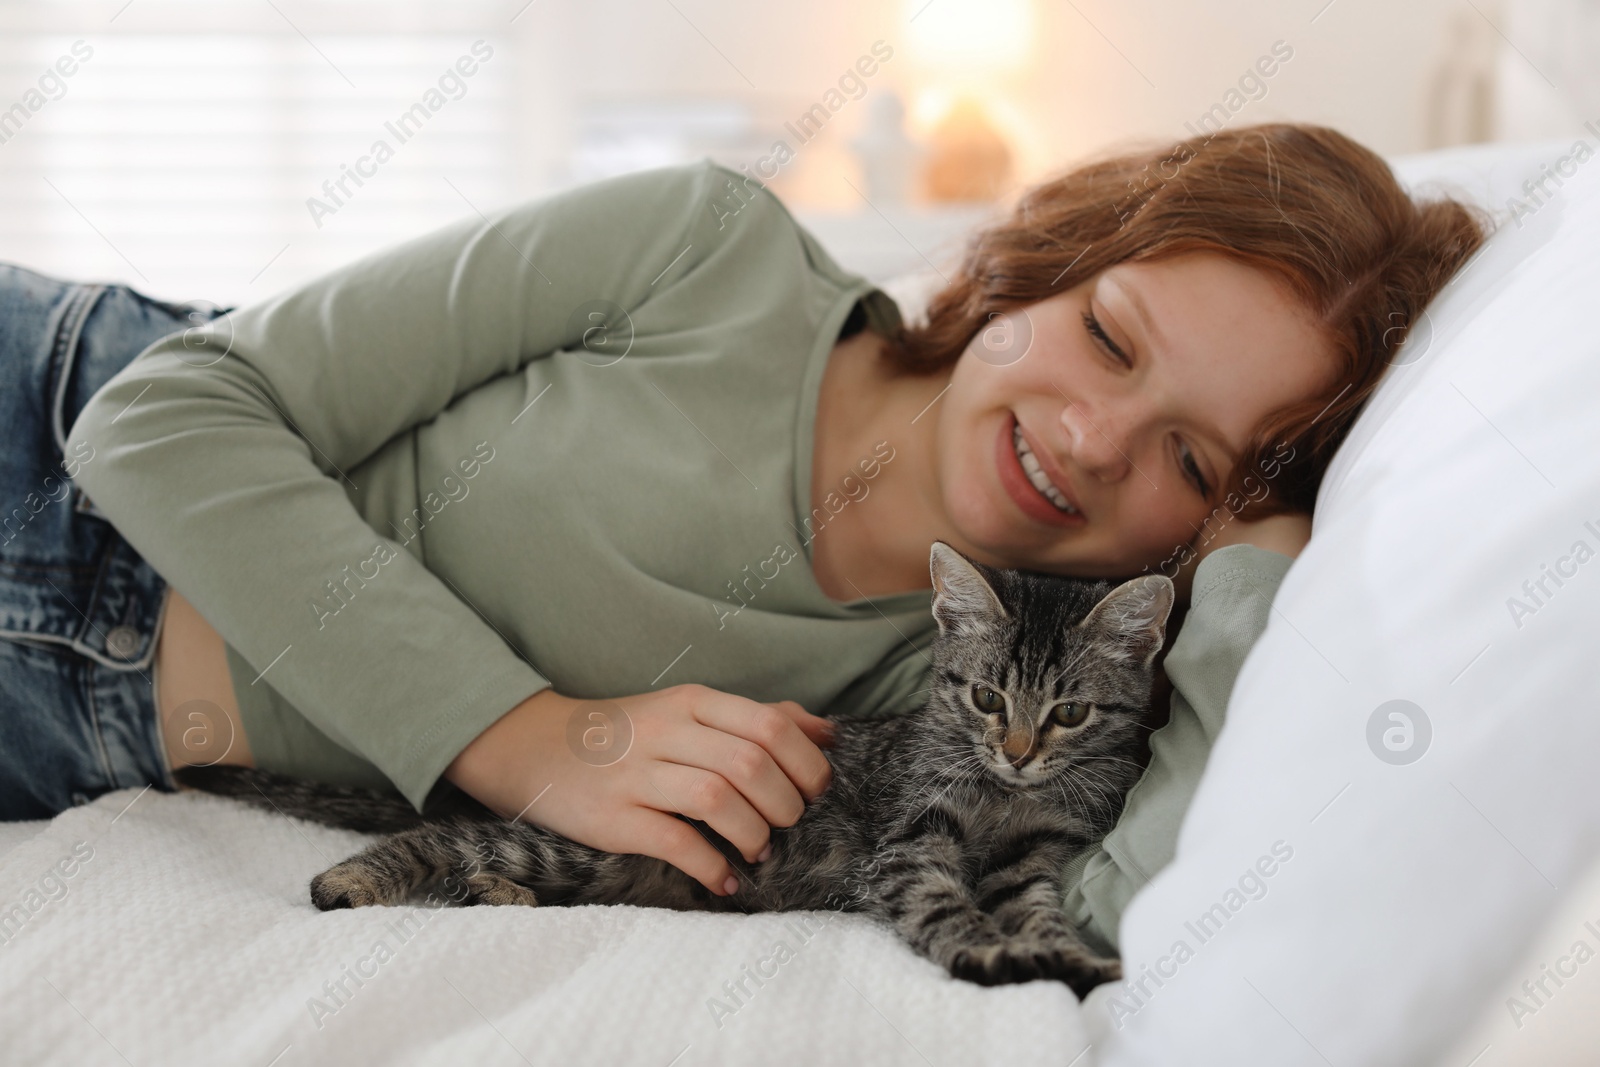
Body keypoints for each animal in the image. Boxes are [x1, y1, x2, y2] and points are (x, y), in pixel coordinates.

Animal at [181, 543, 1171, 1004]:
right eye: (985, 697)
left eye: (1069, 712)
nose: (1019, 750)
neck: (1005, 795)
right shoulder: (909, 840)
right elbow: (942, 905)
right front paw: (993, 952)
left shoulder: (1034, 855)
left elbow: (1034, 906)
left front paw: (1066, 955)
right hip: (578, 840)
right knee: (447, 835)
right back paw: (355, 878)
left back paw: (500, 896)